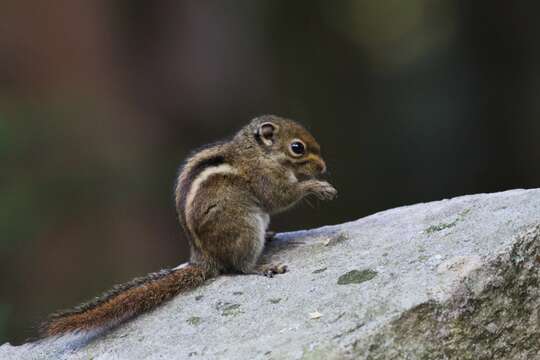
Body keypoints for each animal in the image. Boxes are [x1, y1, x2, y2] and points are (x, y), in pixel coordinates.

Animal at [40, 114, 338, 338]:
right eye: (297, 148)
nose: (323, 167)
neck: (258, 153)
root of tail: (203, 259)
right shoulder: (264, 178)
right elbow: (280, 197)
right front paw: (317, 187)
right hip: (245, 227)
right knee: (240, 267)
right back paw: (263, 267)